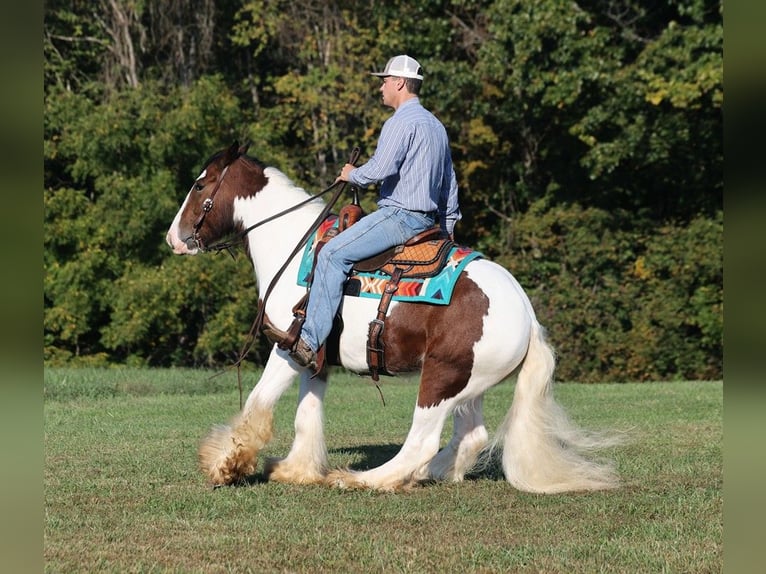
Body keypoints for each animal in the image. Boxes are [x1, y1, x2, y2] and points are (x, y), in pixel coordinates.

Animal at [165, 143, 620, 496]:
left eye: (200, 184)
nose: (174, 238)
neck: (294, 245)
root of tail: (528, 315)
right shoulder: (316, 358)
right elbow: (306, 415)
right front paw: (297, 470)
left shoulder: (290, 345)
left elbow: (258, 403)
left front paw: (226, 464)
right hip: (468, 386)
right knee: (471, 436)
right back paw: (425, 475)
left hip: (440, 380)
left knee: (423, 440)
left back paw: (365, 479)